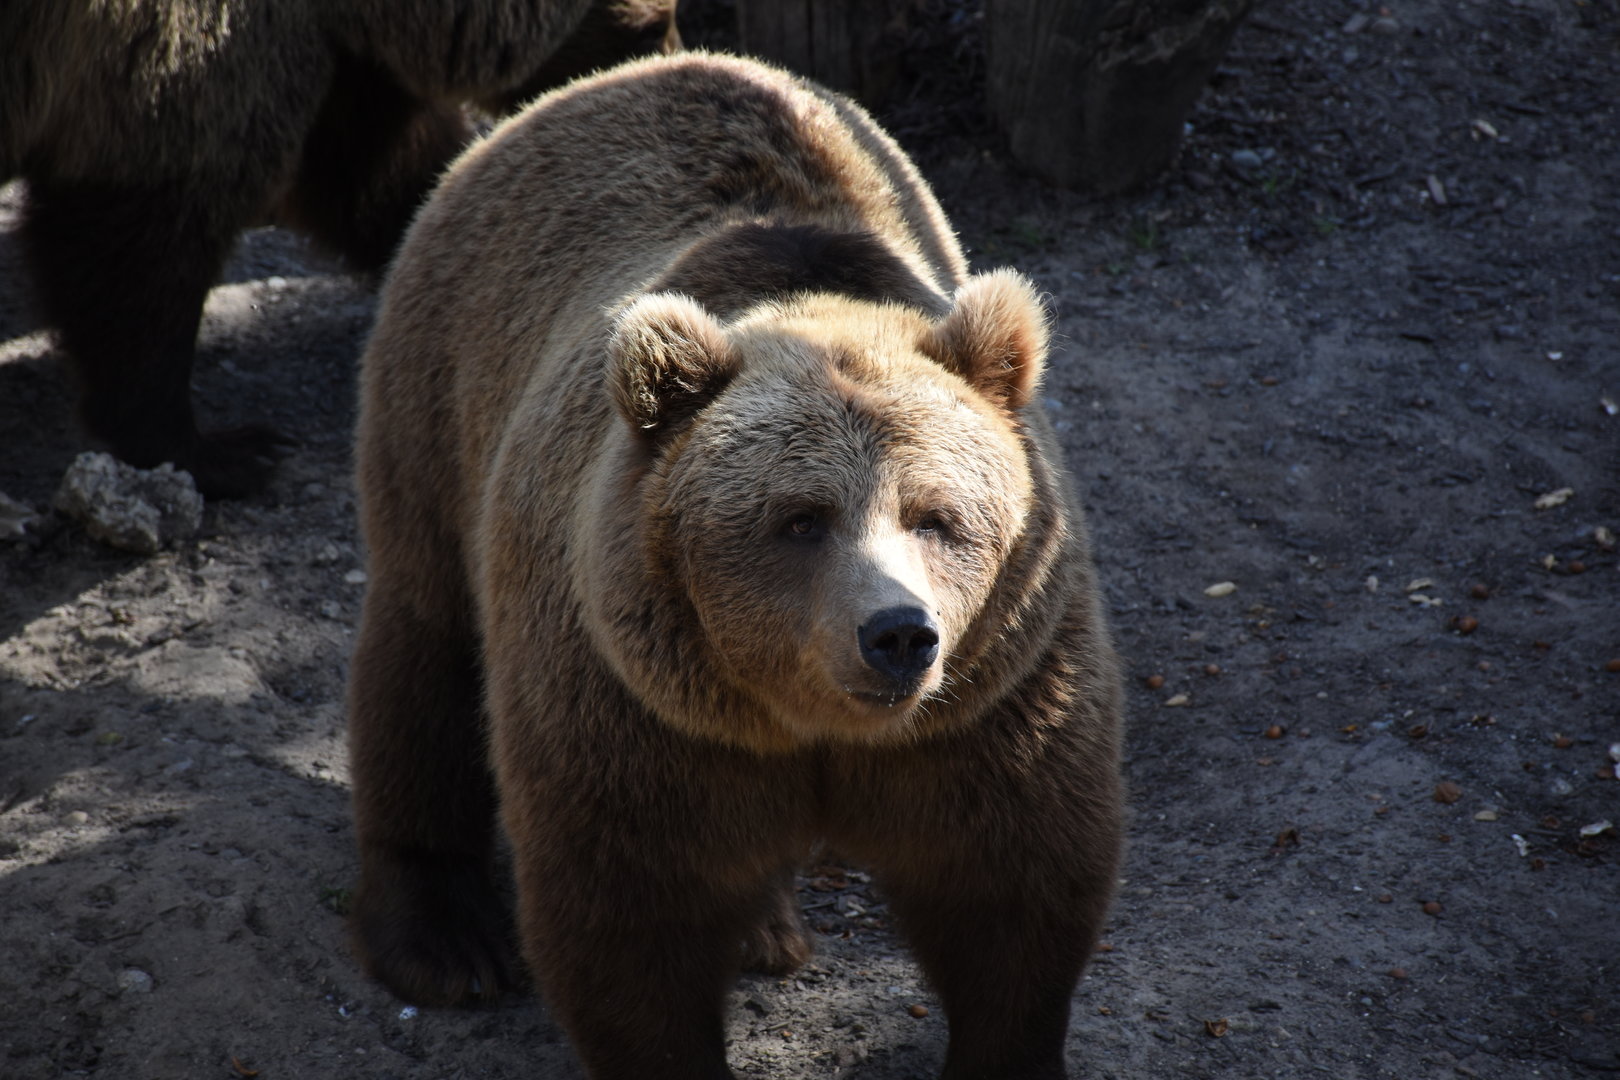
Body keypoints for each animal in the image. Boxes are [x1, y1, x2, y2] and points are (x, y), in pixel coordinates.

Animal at [1, 0, 677, 499]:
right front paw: (226, 449)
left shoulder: (335, 63)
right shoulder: (174, 65)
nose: (669, 63)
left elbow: (379, 172)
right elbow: (137, 246)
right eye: (654, 22)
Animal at [346, 52, 1124, 1080]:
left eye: (939, 518)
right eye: (800, 520)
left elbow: (1013, 898)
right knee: (424, 645)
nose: (897, 635)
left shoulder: (994, 703)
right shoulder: (635, 709)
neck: (812, 729)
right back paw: (444, 939)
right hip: (444, 393)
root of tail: (631, 71)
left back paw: (763, 929)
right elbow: (628, 920)